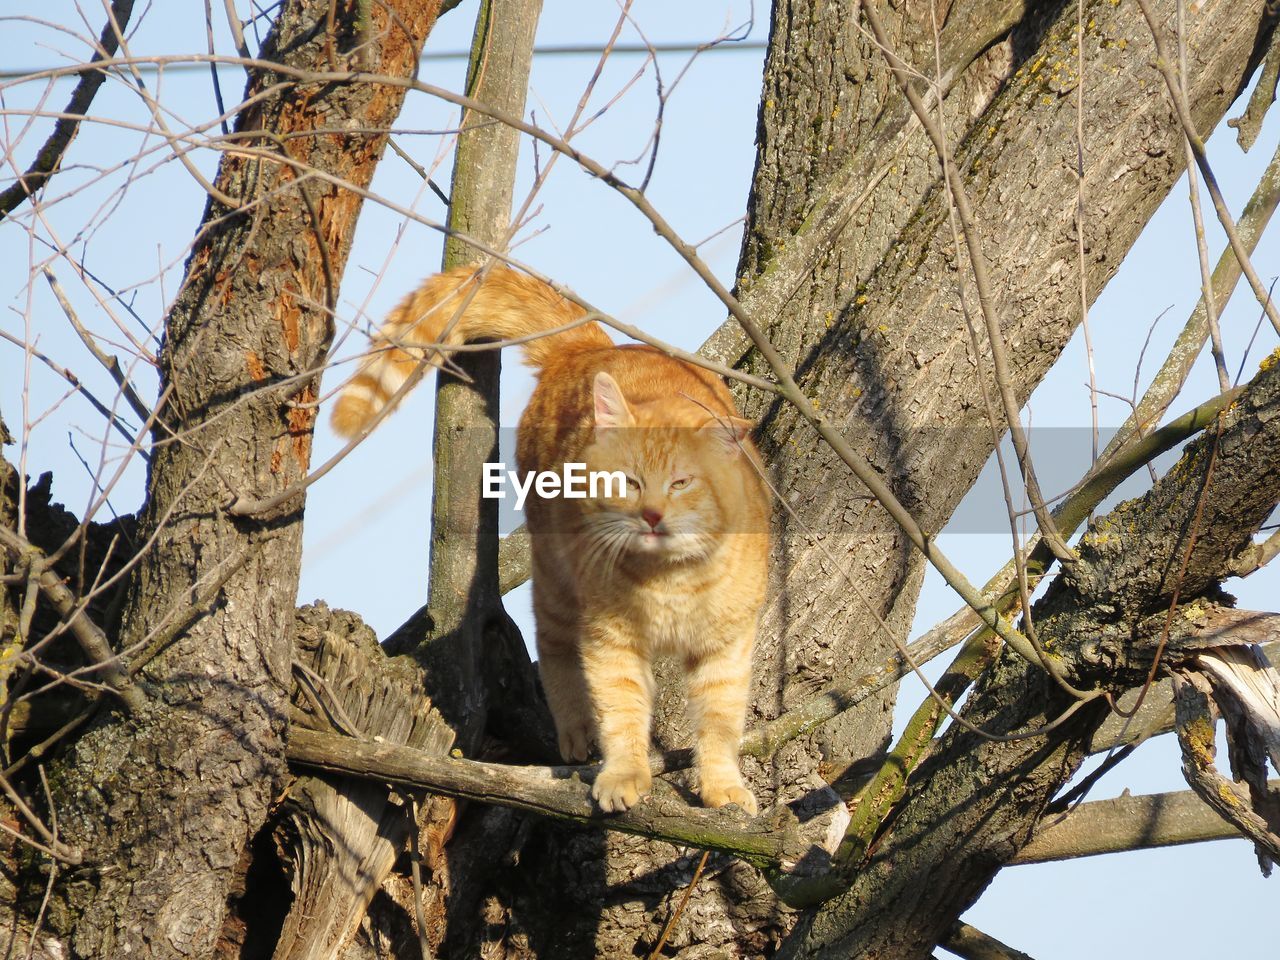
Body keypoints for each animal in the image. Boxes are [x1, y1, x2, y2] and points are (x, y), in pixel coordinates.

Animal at [332, 267, 768, 814]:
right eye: (628, 481)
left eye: (682, 483)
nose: (650, 516)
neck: (669, 579)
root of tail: (587, 346)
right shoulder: (610, 641)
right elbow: (621, 712)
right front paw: (624, 775)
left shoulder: (726, 649)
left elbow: (720, 722)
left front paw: (722, 787)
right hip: (556, 582)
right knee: (554, 647)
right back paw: (577, 733)